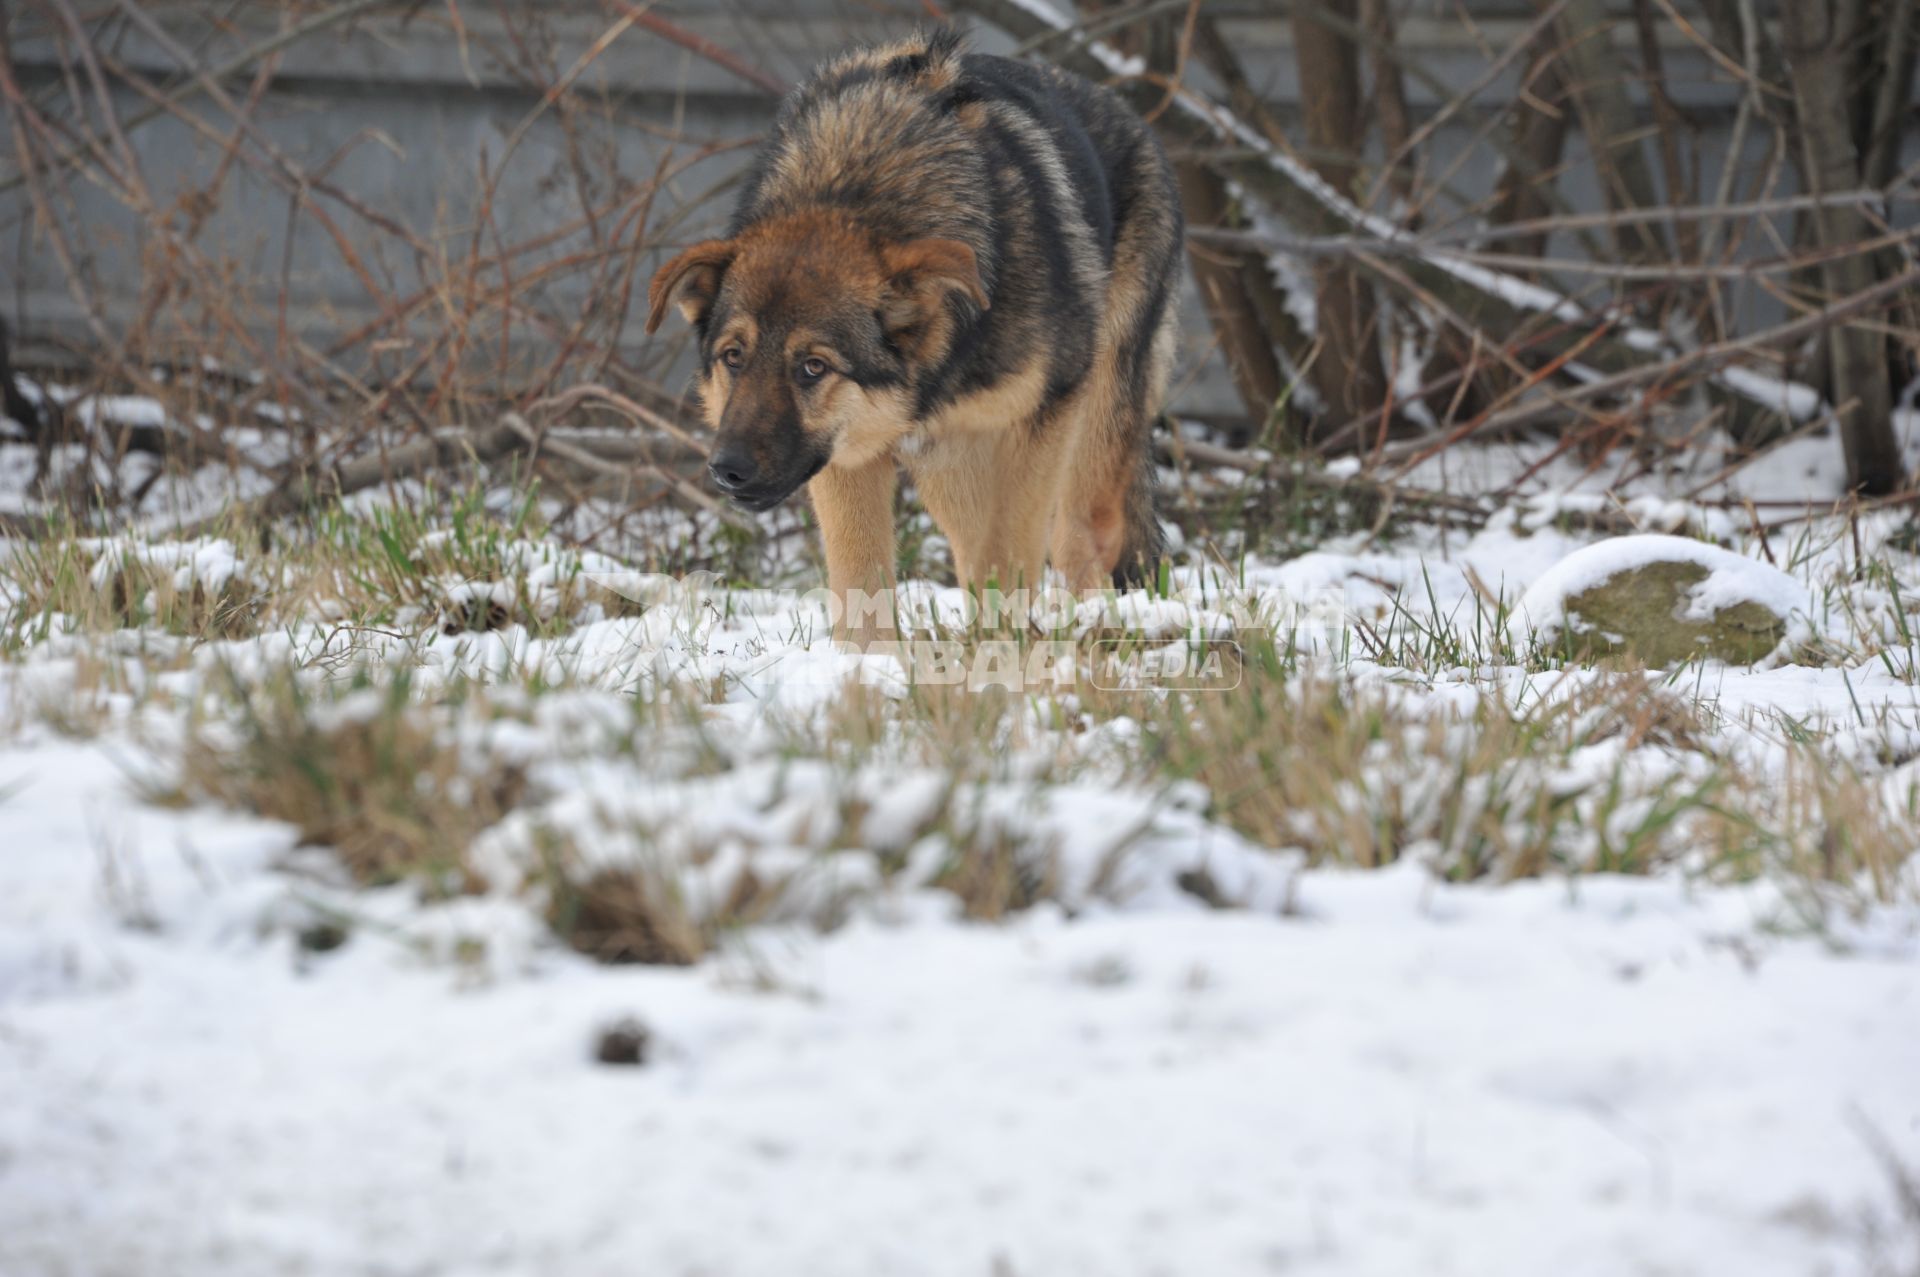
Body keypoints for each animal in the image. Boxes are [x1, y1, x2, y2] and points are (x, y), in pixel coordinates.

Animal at [652, 27, 1175, 649]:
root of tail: (1133, 117)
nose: (727, 470)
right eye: (733, 357)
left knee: (1078, 540)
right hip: (953, 468)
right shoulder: (848, 456)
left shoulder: (1041, 420)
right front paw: (869, 668)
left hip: (1089, 438)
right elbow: (861, 581)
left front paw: (1006, 655)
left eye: (813, 366)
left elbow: (1009, 552)